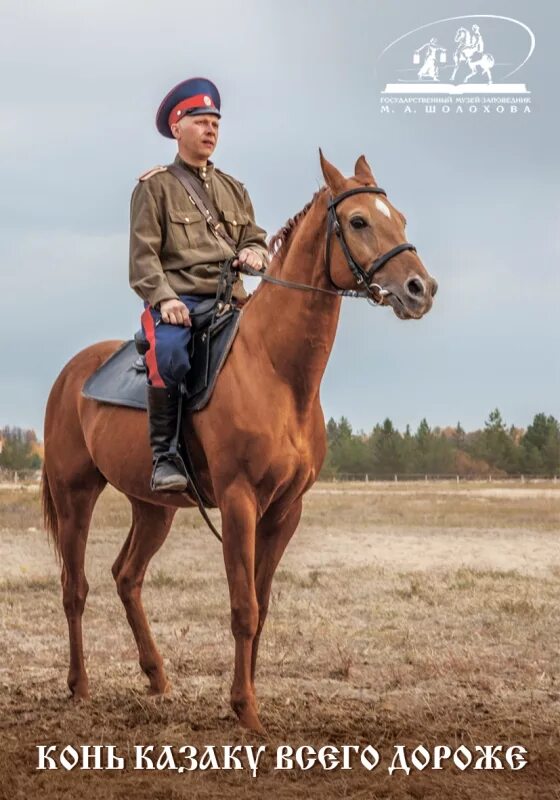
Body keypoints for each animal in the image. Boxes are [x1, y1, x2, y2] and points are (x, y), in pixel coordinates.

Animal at [42, 150, 438, 732]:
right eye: (359, 221)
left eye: (402, 218)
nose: (420, 289)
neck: (277, 371)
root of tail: (71, 372)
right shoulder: (239, 503)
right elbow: (243, 607)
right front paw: (245, 709)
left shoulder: (285, 510)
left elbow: (263, 605)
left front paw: (247, 697)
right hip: (76, 496)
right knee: (75, 588)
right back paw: (79, 685)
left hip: (153, 507)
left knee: (127, 577)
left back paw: (156, 676)